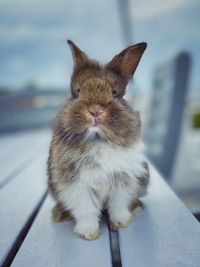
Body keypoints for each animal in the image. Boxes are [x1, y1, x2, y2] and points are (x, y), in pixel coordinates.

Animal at [47, 39, 150, 241]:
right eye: (77, 92)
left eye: (115, 93)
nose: (95, 111)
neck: (98, 140)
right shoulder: (75, 183)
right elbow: (86, 209)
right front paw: (89, 233)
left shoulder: (122, 178)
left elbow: (118, 204)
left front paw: (121, 222)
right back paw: (59, 214)